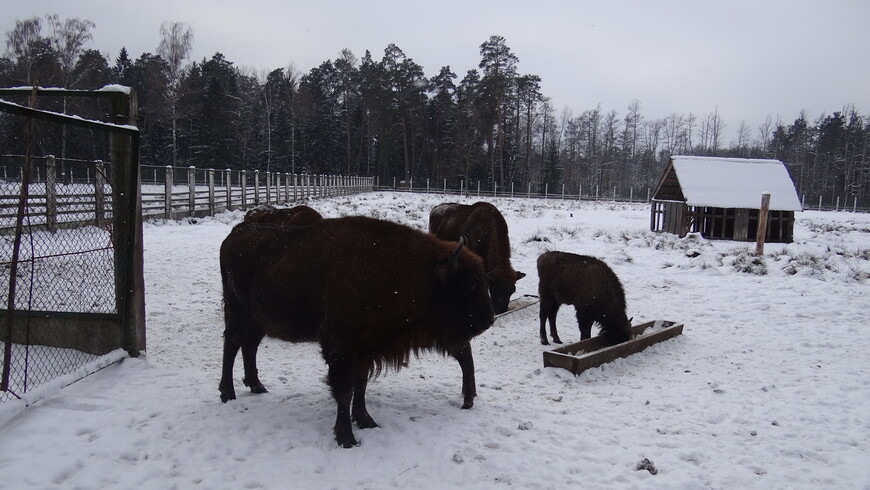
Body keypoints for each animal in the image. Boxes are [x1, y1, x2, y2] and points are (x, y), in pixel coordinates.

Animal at [220, 217, 498, 448]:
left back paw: (256, 386)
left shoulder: (365, 349)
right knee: (232, 344)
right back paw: (227, 394)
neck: (416, 272)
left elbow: (360, 385)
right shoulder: (341, 349)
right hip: (238, 311)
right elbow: (345, 391)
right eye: (470, 282)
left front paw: (365, 420)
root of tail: (236, 232)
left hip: (258, 319)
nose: (489, 319)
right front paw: (346, 438)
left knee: (249, 345)